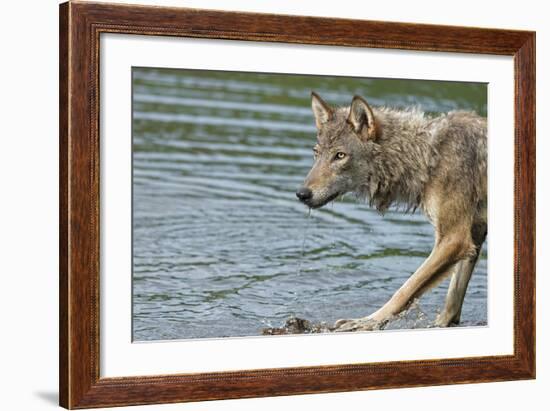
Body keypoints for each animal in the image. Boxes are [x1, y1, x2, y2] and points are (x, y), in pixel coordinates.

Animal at [300, 92, 490, 332]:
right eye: (316, 154)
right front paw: (441, 324)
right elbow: (452, 301)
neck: (428, 158)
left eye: (340, 155)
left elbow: (405, 290)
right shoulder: (474, 236)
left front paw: (366, 322)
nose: (301, 194)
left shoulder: (454, 238)